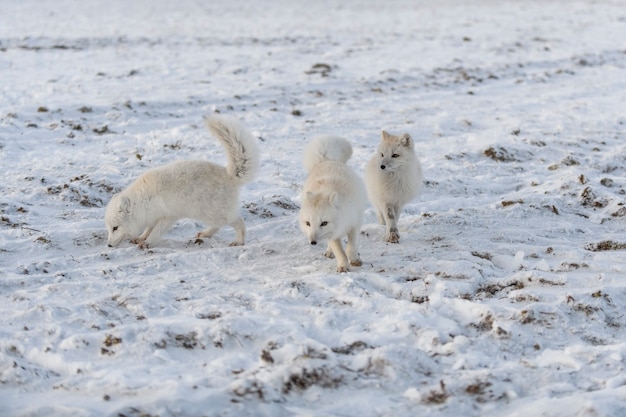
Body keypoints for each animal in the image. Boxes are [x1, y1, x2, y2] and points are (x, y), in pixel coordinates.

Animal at [104, 114, 258, 247]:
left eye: (115, 228)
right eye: (109, 228)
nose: (109, 245)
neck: (143, 199)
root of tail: (229, 175)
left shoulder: (168, 216)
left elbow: (156, 232)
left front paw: (147, 243)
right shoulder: (153, 217)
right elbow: (148, 229)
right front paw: (141, 238)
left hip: (216, 213)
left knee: (238, 221)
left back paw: (239, 241)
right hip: (208, 214)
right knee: (217, 226)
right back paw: (205, 234)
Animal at [298, 136, 366, 272]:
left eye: (324, 223)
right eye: (308, 223)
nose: (312, 242)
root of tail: (327, 160)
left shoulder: (355, 223)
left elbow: (351, 247)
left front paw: (355, 260)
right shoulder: (333, 235)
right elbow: (340, 252)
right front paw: (343, 266)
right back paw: (329, 252)